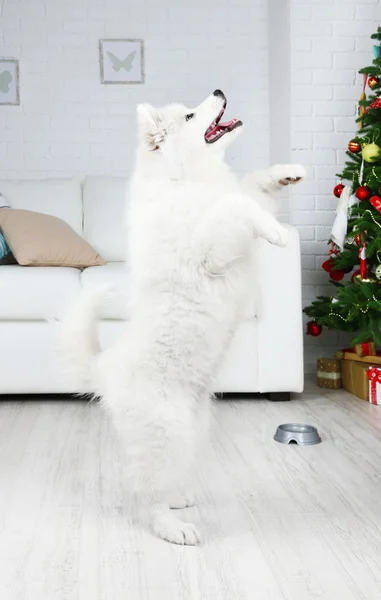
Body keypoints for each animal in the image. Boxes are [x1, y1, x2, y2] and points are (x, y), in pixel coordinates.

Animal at [60, 89, 306, 544]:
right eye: (190, 116)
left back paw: (178, 499)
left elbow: (249, 187)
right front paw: (277, 232)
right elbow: (238, 203)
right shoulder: (208, 247)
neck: (186, 177)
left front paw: (287, 174)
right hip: (166, 431)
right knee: (147, 493)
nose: (220, 92)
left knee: (166, 480)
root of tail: (104, 371)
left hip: (195, 428)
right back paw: (175, 528)